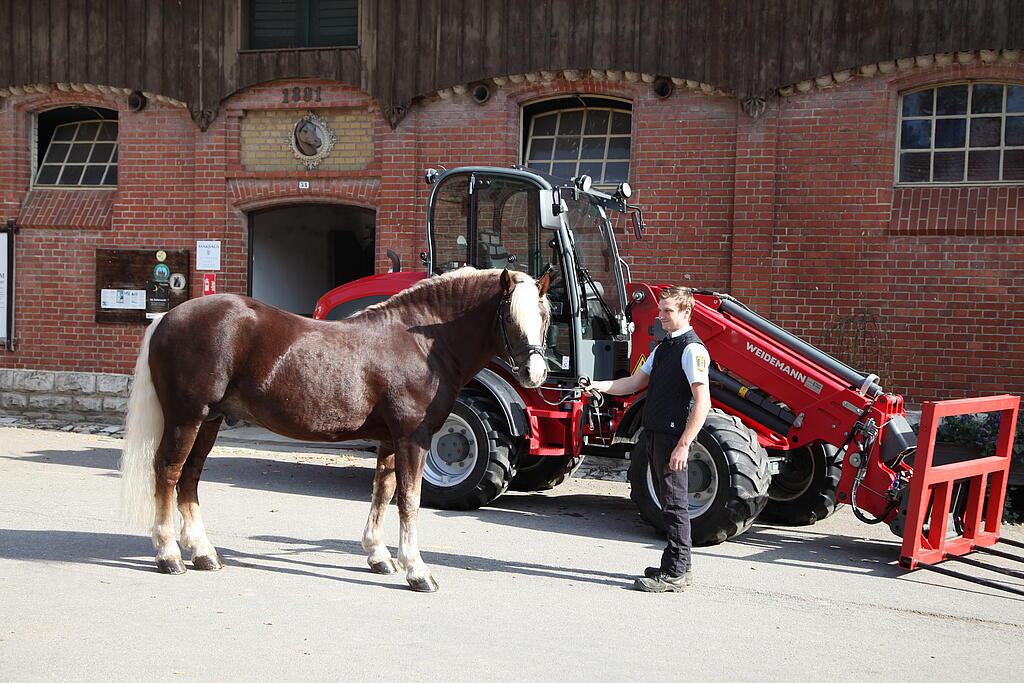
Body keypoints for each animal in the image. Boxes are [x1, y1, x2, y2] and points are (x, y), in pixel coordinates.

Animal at [121, 270, 552, 589]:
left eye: (545, 317)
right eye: (510, 317)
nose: (535, 373)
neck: (419, 345)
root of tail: (169, 317)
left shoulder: (390, 440)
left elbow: (383, 491)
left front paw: (379, 556)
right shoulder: (413, 438)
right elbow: (409, 500)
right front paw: (416, 570)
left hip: (208, 421)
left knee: (189, 479)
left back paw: (203, 553)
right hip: (187, 418)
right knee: (168, 473)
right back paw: (169, 555)